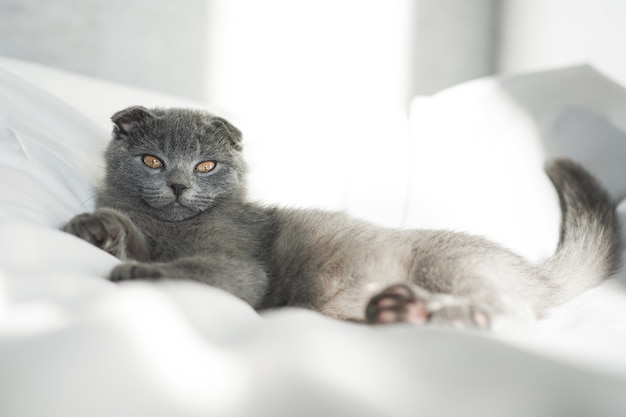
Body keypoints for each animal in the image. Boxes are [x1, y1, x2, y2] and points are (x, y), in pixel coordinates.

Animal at [63, 106, 620, 332]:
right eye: (152, 161)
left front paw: (136, 269)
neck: (172, 227)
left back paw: (455, 316)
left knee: (513, 312)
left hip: (450, 265)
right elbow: (129, 230)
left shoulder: (239, 264)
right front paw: (95, 228)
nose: (179, 185)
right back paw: (398, 312)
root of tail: (531, 270)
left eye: (206, 166)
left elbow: (190, 267)